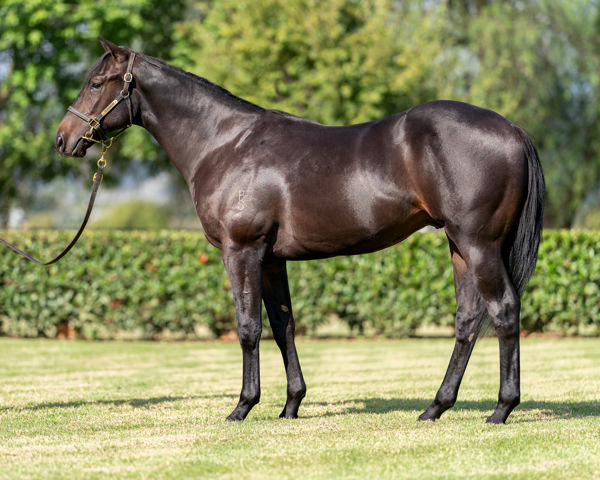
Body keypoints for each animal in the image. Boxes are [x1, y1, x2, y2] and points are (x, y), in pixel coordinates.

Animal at [55, 37, 544, 424]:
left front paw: (242, 406)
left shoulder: (241, 250)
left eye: (96, 84)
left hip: (478, 245)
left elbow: (248, 327)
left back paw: (501, 409)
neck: (225, 143)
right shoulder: (272, 259)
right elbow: (281, 325)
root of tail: (511, 128)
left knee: (503, 311)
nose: (62, 139)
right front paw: (290, 405)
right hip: (459, 246)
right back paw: (435, 408)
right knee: (468, 320)